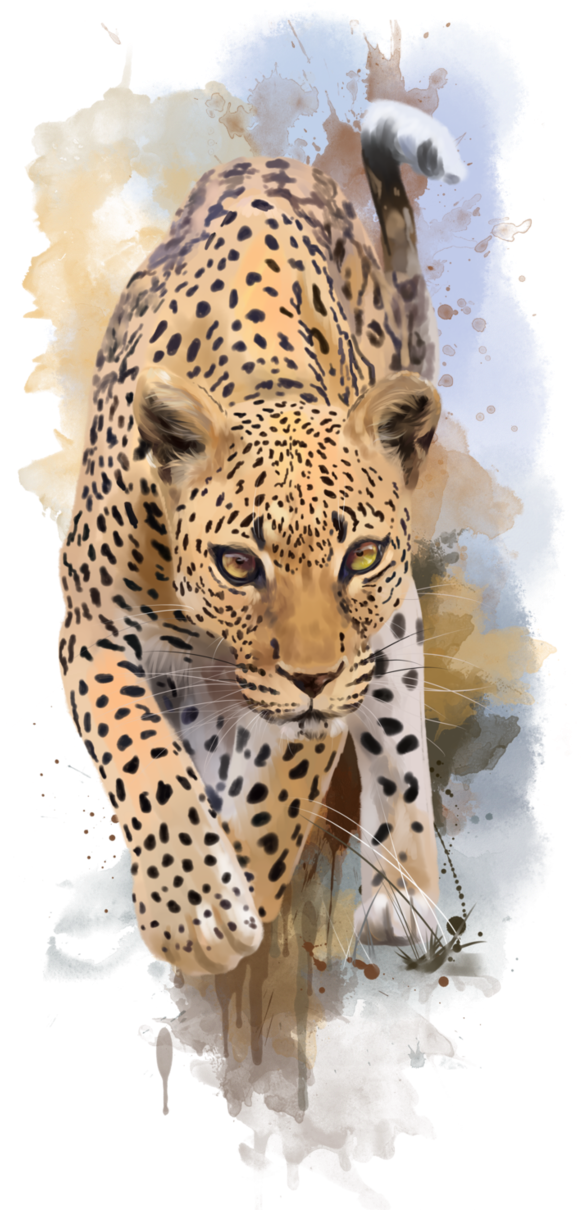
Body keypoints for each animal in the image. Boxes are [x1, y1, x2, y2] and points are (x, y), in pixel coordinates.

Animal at [57, 99, 467, 979]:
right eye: (239, 565)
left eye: (360, 556)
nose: (311, 677)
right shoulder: (91, 629)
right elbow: (139, 749)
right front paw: (195, 907)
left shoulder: (335, 673)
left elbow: (280, 788)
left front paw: (227, 895)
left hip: (389, 634)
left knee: (394, 722)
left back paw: (401, 889)